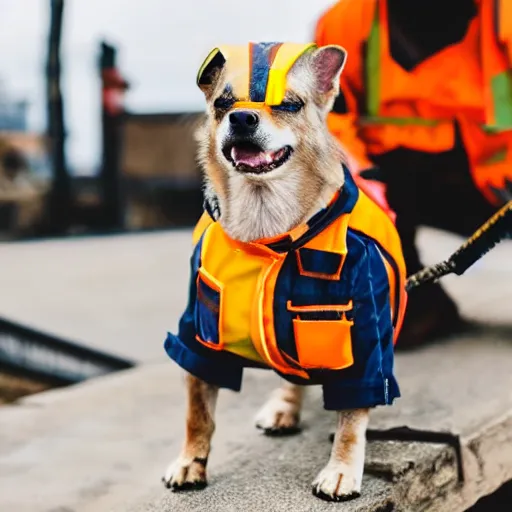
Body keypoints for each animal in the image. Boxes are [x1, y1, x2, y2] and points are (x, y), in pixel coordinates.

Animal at [162, 42, 406, 502]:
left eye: (290, 105)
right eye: (222, 105)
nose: (242, 117)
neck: (266, 230)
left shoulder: (362, 335)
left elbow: (352, 417)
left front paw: (342, 470)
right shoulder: (198, 332)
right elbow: (197, 411)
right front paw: (190, 462)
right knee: (294, 374)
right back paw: (284, 407)